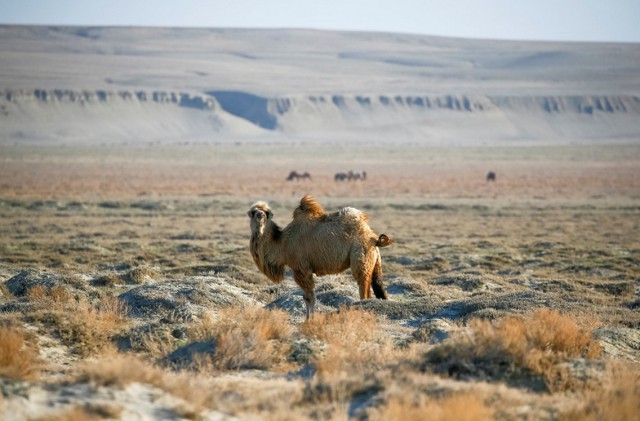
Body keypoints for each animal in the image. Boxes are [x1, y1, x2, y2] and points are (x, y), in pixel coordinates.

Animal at [248, 194, 392, 318]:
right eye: (253, 212)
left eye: (267, 213)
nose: (260, 215)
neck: (283, 244)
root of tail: (373, 238)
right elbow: (307, 297)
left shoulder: (302, 268)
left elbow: (309, 297)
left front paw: (309, 320)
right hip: (375, 262)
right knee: (378, 287)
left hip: (361, 257)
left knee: (364, 289)